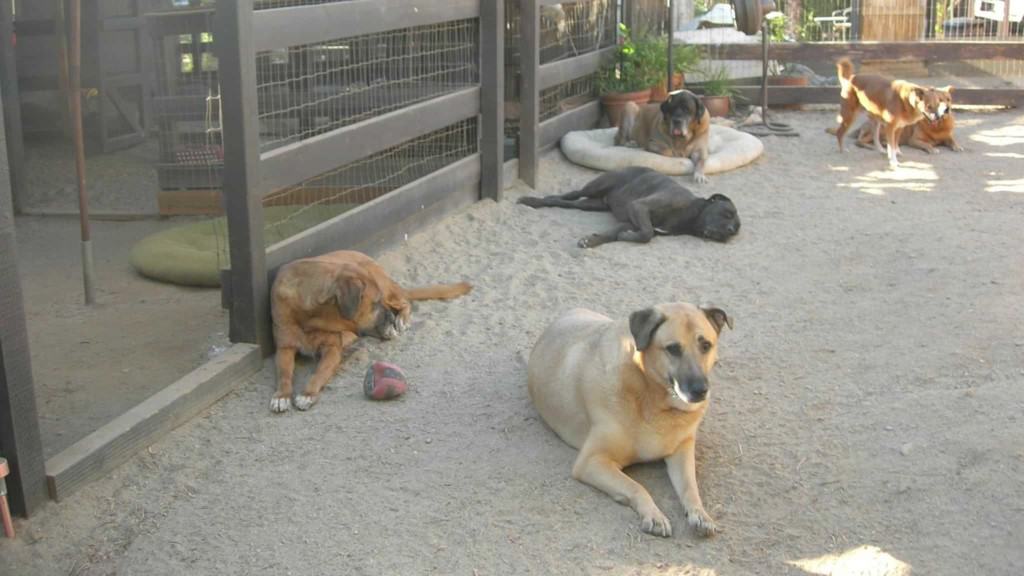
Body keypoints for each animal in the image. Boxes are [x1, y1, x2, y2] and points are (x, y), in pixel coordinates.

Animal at [266, 249, 468, 409]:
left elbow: (319, 372)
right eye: (375, 304)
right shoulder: (284, 349)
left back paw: (401, 319)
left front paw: (308, 393)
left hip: (387, 290)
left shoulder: (332, 350)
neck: (308, 317)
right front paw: (282, 395)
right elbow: (284, 374)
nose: (390, 317)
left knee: (404, 301)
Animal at [516, 165, 741, 248]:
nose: (729, 231)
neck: (690, 212)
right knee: (568, 195)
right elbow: (647, 234)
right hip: (595, 186)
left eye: (736, 229)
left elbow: (614, 234)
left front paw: (593, 240)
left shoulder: (631, 221)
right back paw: (534, 201)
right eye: (727, 213)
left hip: (593, 204)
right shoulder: (639, 207)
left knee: (568, 203)